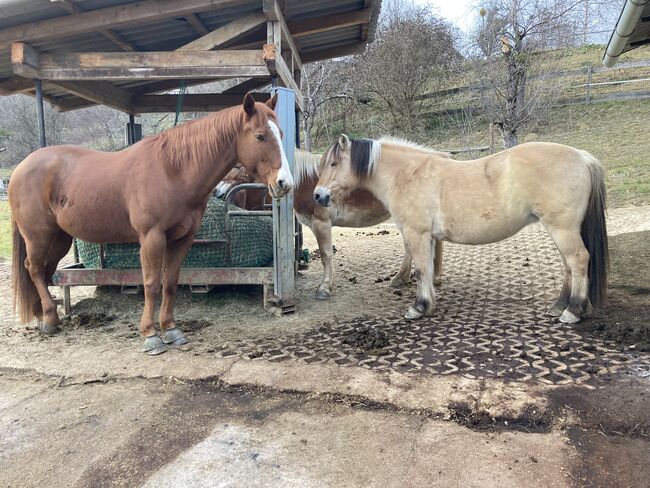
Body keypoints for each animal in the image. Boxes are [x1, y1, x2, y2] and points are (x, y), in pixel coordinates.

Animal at [7, 93, 290, 354]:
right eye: (260, 136)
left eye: (281, 134)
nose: (284, 183)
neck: (172, 171)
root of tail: (21, 168)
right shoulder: (152, 238)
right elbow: (152, 285)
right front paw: (151, 335)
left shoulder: (182, 239)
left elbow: (171, 283)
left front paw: (171, 329)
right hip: (38, 235)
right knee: (34, 268)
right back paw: (49, 319)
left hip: (59, 238)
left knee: (44, 270)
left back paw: (42, 315)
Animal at [216, 147, 440, 300]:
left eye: (237, 165)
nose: (217, 192)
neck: (307, 181)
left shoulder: (321, 223)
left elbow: (325, 255)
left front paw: (324, 288)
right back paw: (406, 279)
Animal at [314, 135, 608, 324]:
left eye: (333, 163)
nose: (318, 196)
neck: (407, 174)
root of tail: (582, 157)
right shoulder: (427, 237)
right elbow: (427, 269)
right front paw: (428, 302)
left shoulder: (416, 234)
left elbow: (421, 269)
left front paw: (418, 307)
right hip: (561, 230)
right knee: (569, 265)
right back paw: (559, 306)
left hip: (562, 229)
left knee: (578, 260)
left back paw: (573, 311)